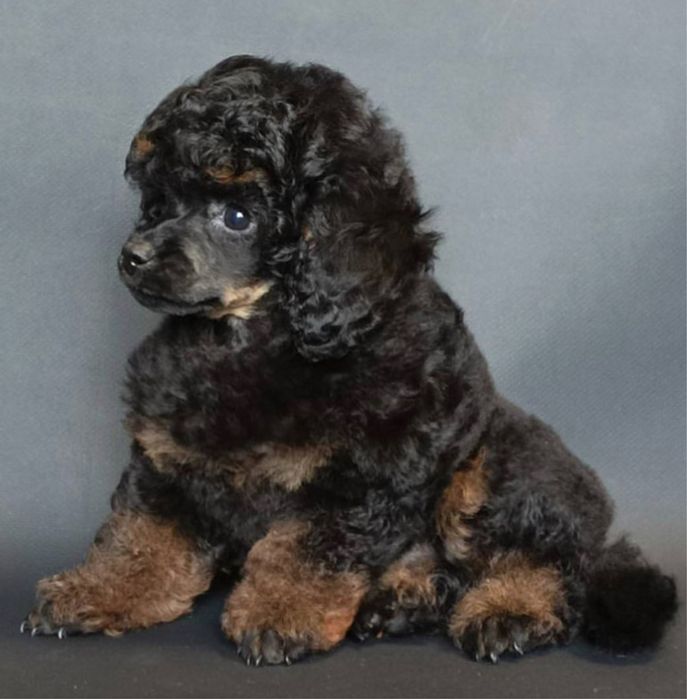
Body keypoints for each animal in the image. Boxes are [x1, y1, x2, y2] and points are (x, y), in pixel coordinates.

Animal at [23, 56, 677, 665]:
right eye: (159, 201)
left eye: (237, 217)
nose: (132, 256)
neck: (250, 338)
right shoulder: (168, 454)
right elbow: (142, 534)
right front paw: (97, 591)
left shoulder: (360, 474)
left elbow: (303, 547)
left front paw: (279, 614)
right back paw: (401, 600)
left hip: (489, 466)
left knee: (548, 562)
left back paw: (510, 610)